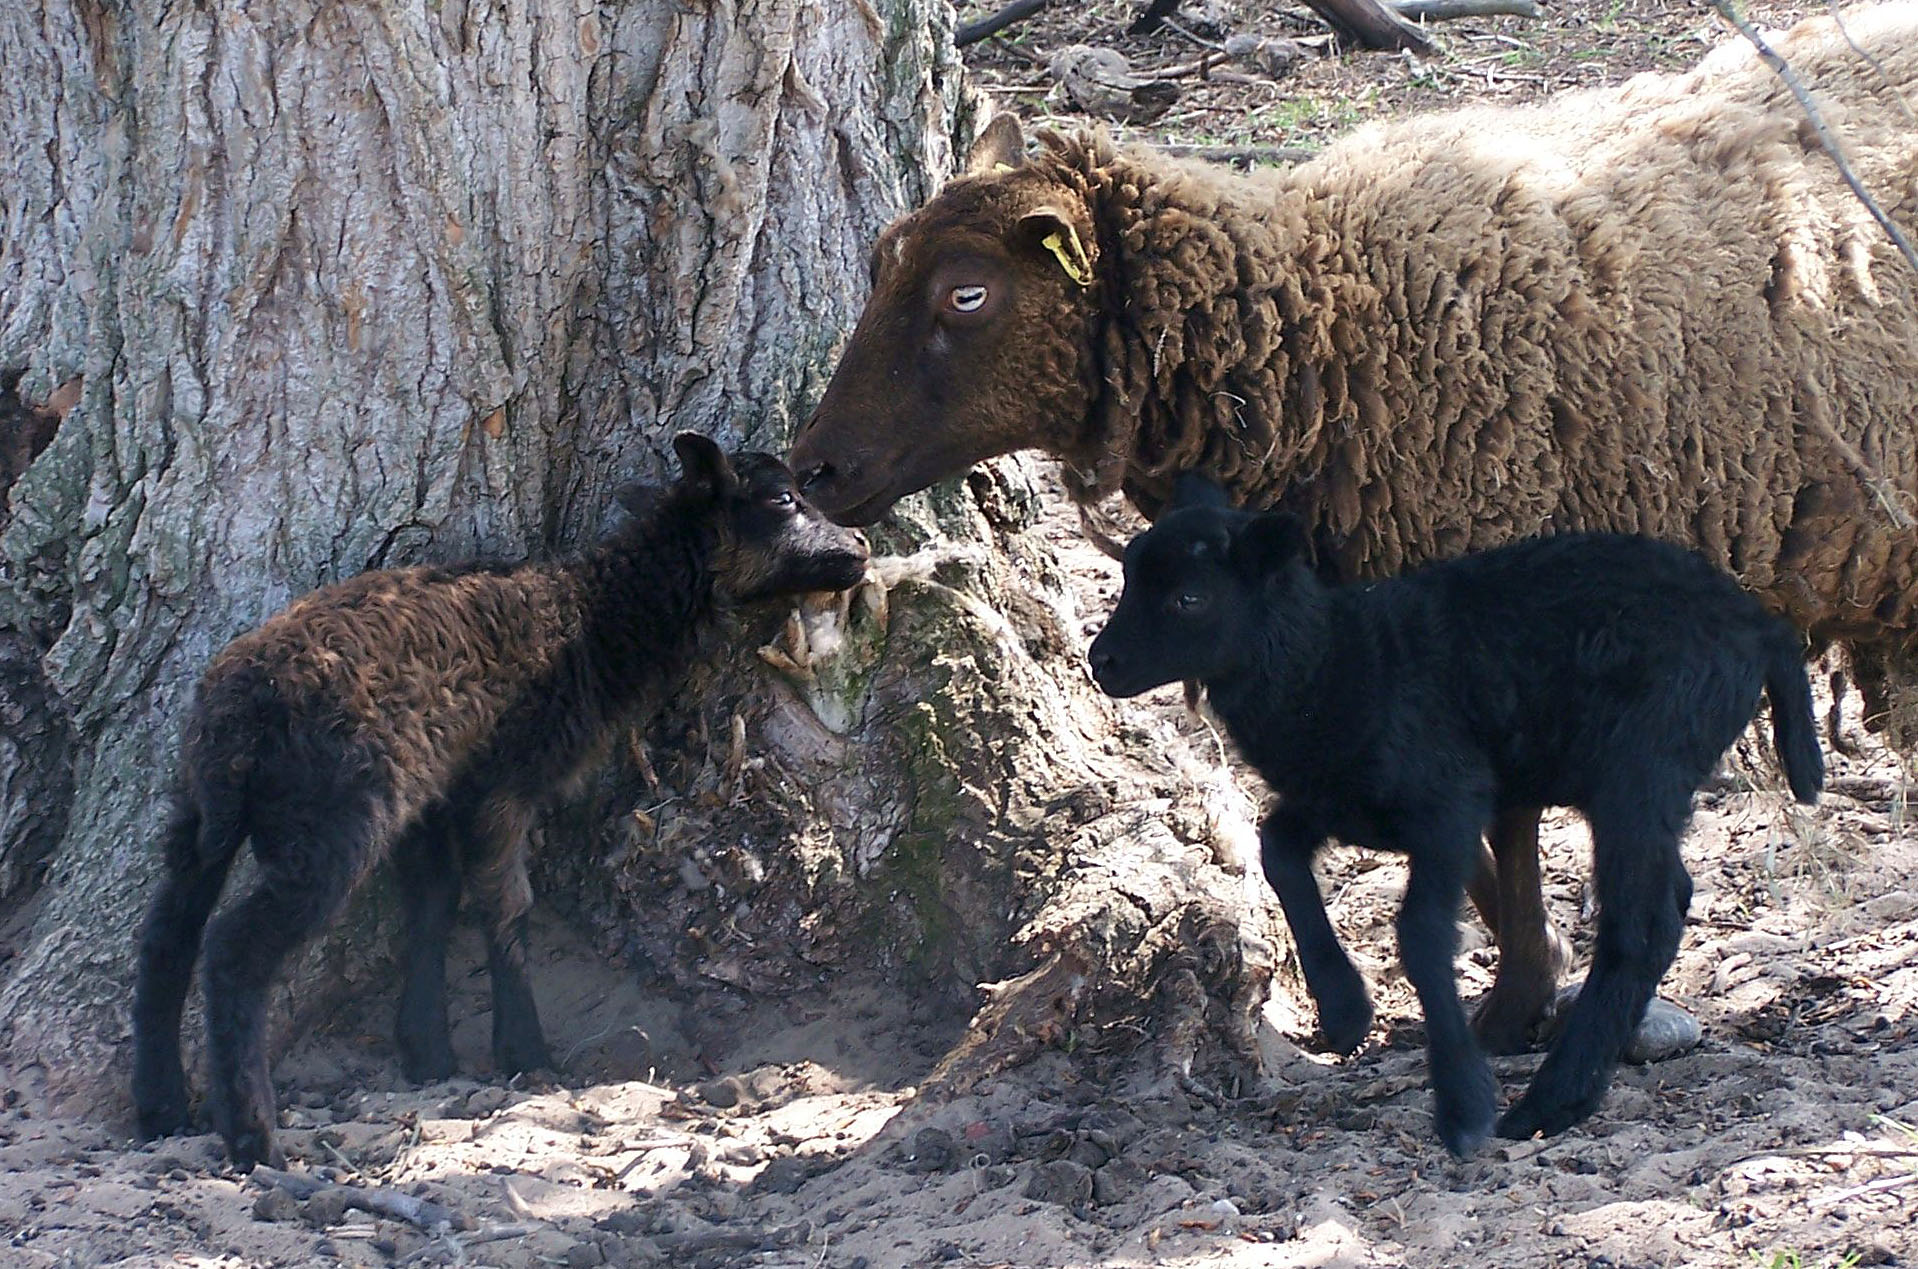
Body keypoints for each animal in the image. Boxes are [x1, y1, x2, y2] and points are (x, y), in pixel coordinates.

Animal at [139, 437, 874, 1173]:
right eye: (782, 499)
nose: (860, 545)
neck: (595, 617)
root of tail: (240, 715)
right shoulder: (502, 784)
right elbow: (506, 905)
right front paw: (524, 1050)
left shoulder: (436, 794)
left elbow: (431, 904)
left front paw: (427, 1051)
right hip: (329, 816)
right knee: (232, 947)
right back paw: (253, 1137)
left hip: (198, 810)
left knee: (167, 935)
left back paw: (160, 1108)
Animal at [1089, 479, 1818, 1165]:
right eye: (1129, 576)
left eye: (1189, 598)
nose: (1103, 662)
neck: (1340, 664)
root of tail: (1759, 627)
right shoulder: (1340, 801)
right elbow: (1277, 852)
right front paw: (1345, 1009)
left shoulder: (1450, 799)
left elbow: (1418, 933)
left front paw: (1463, 1105)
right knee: (1668, 900)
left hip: (1641, 761)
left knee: (1643, 922)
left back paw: (1554, 1100)